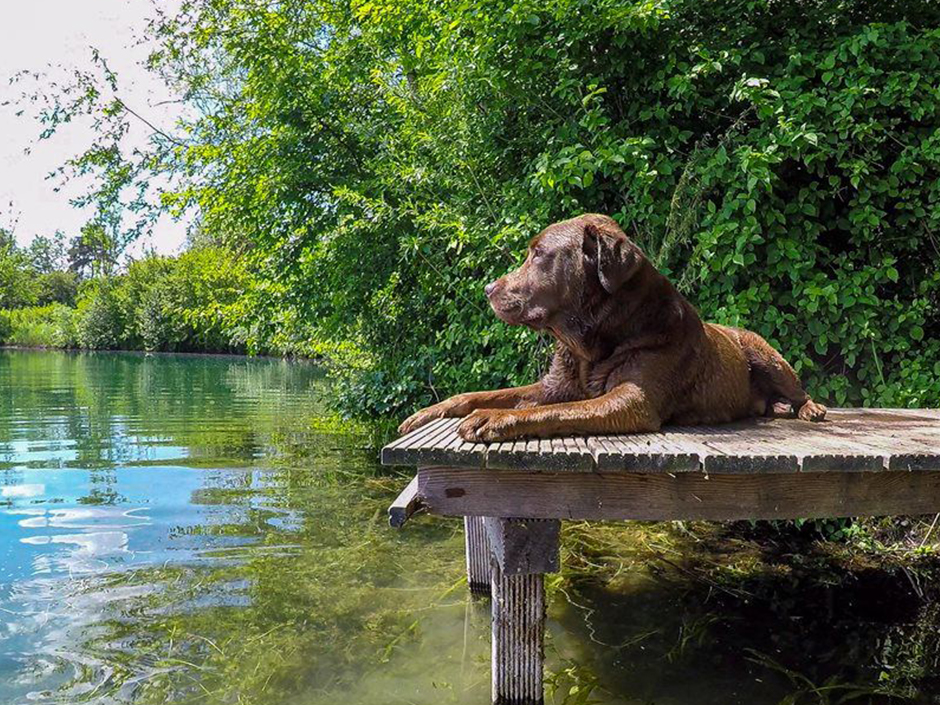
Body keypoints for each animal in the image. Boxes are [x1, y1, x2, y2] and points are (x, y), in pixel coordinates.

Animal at [400, 212, 828, 440]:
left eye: (538, 255)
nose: (488, 289)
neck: (591, 342)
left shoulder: (631, 400)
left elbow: (556, 412)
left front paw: (493, 418)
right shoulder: (553, 385)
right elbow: (481, 394)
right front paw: (428, 413)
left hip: (763, 350)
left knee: (798, 388)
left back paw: (810, 409)